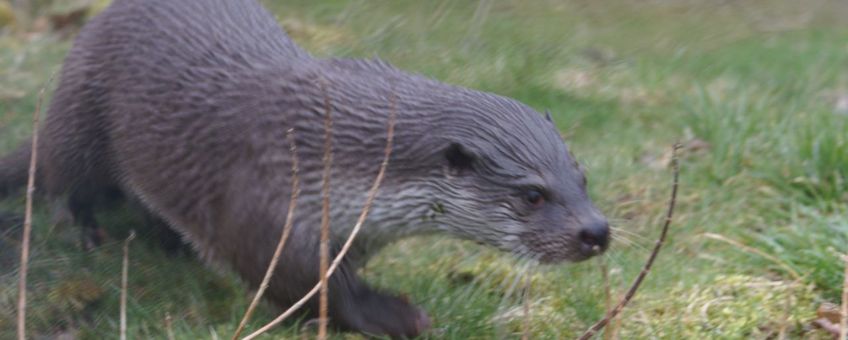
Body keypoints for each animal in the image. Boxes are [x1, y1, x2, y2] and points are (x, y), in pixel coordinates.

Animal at [0, 0, 608, 336]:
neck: (328, 153)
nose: (596, 232)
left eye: (581, 179)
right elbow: (301, 283)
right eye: (532, 194)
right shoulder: (266, 199)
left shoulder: (354, 231)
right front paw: (393, 315)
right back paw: (86, 231)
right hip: (81, 117)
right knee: (63, 179)